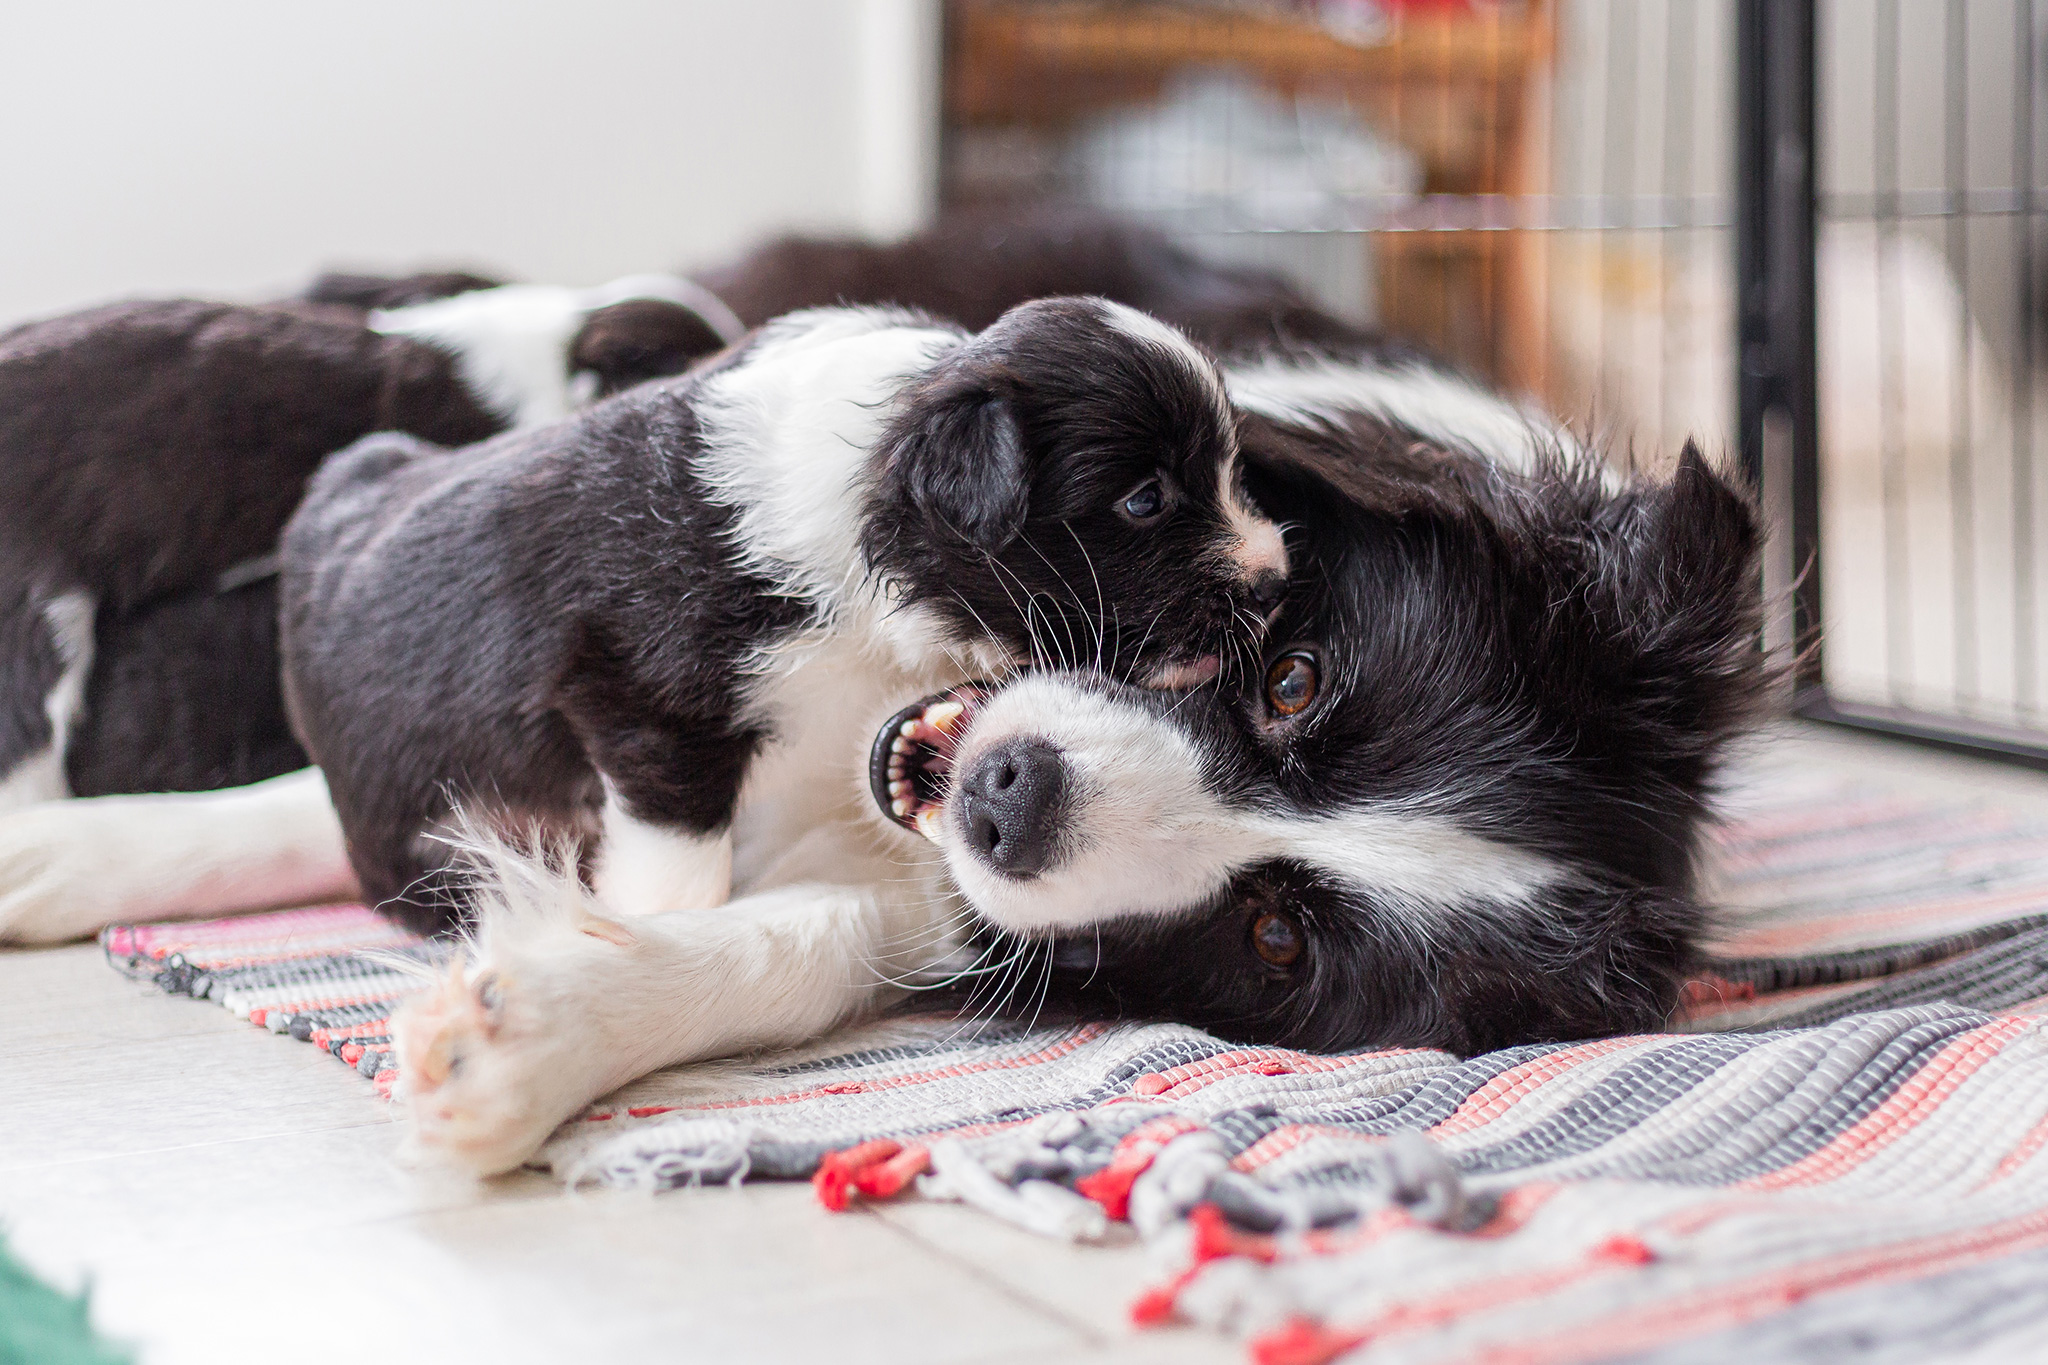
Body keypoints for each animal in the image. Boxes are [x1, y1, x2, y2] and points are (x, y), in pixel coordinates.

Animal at [282, 296, 1286, 941]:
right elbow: (681, 861)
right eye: (1146, 500)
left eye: (1231, 472)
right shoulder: (640, 693)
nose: (1277, 581)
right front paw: (653, 935)